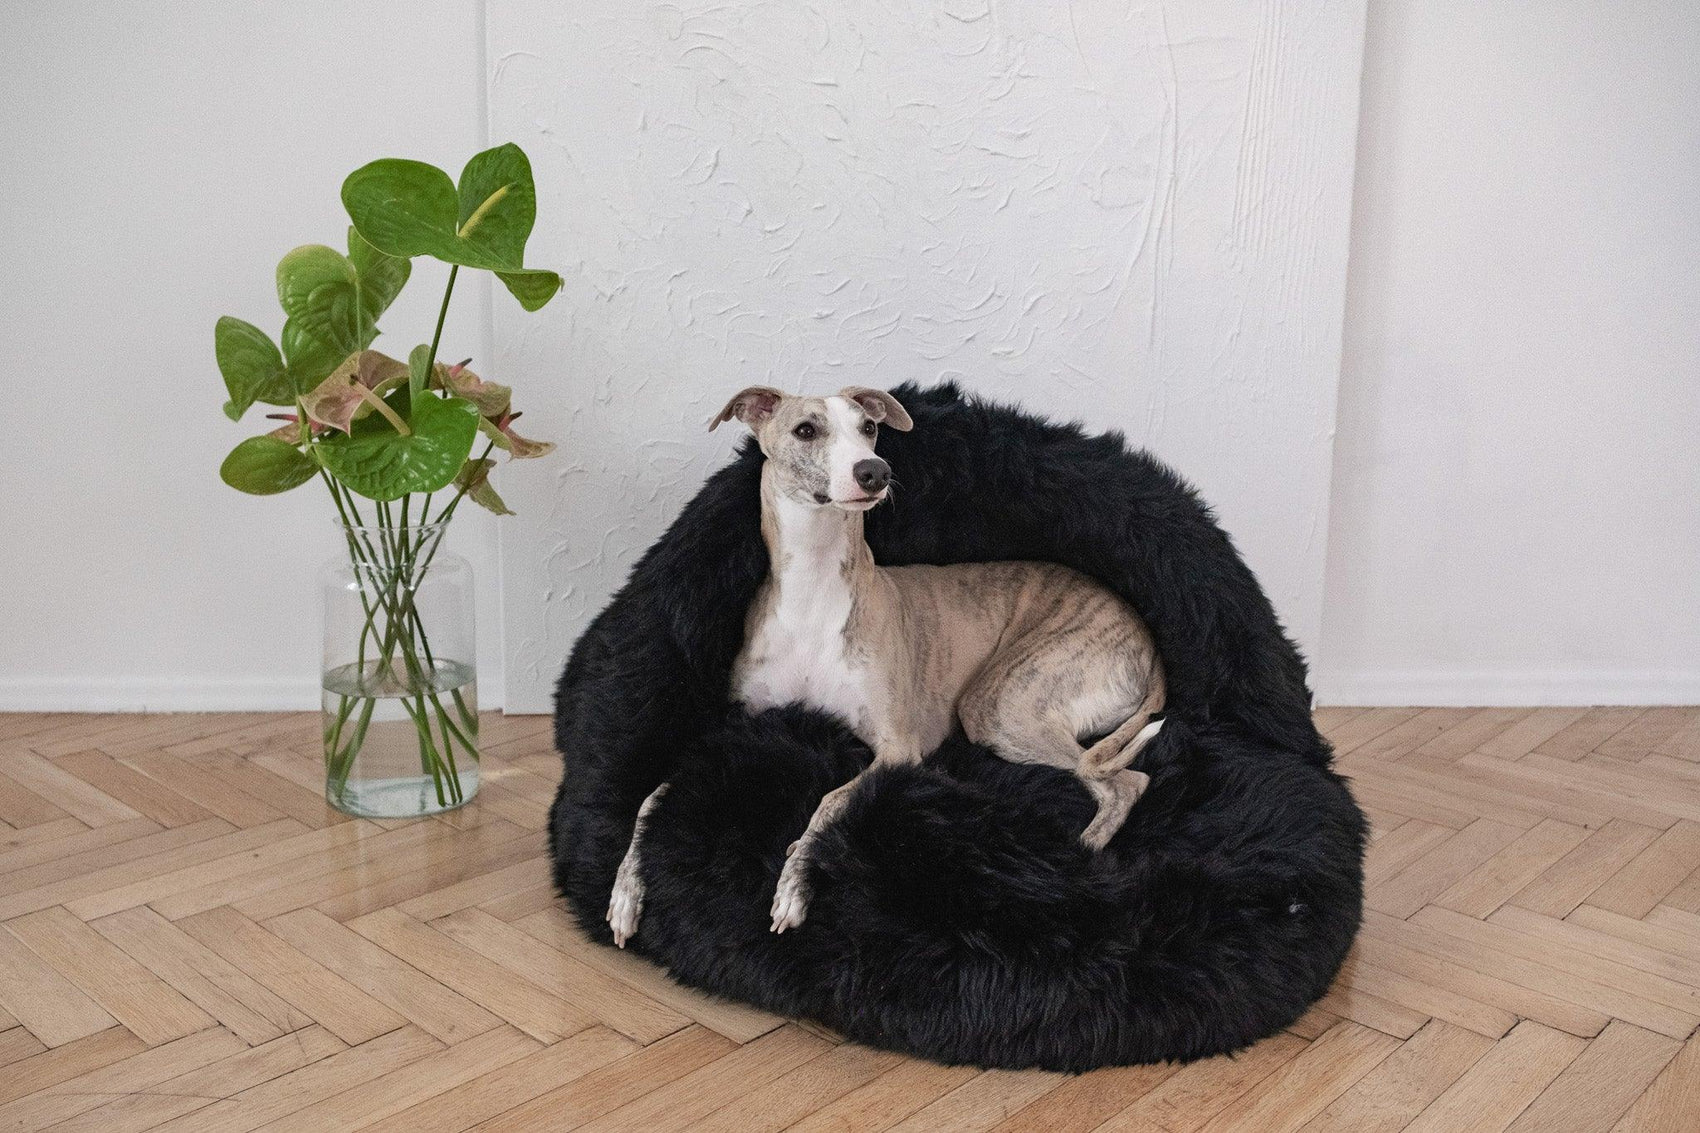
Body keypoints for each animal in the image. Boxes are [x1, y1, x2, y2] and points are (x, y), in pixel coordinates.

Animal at [605, 384, 1162, 939]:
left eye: (869, 428)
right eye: (805, 429)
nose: (874, 472)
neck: (813, 590)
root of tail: (1150, 646)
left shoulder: (899, 747)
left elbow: (830, 799)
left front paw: (795, 883)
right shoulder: (735, 723)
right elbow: (653, 794)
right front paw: (626, 890)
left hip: (1000, 705)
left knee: (1125, 782)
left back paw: (1076, 862)